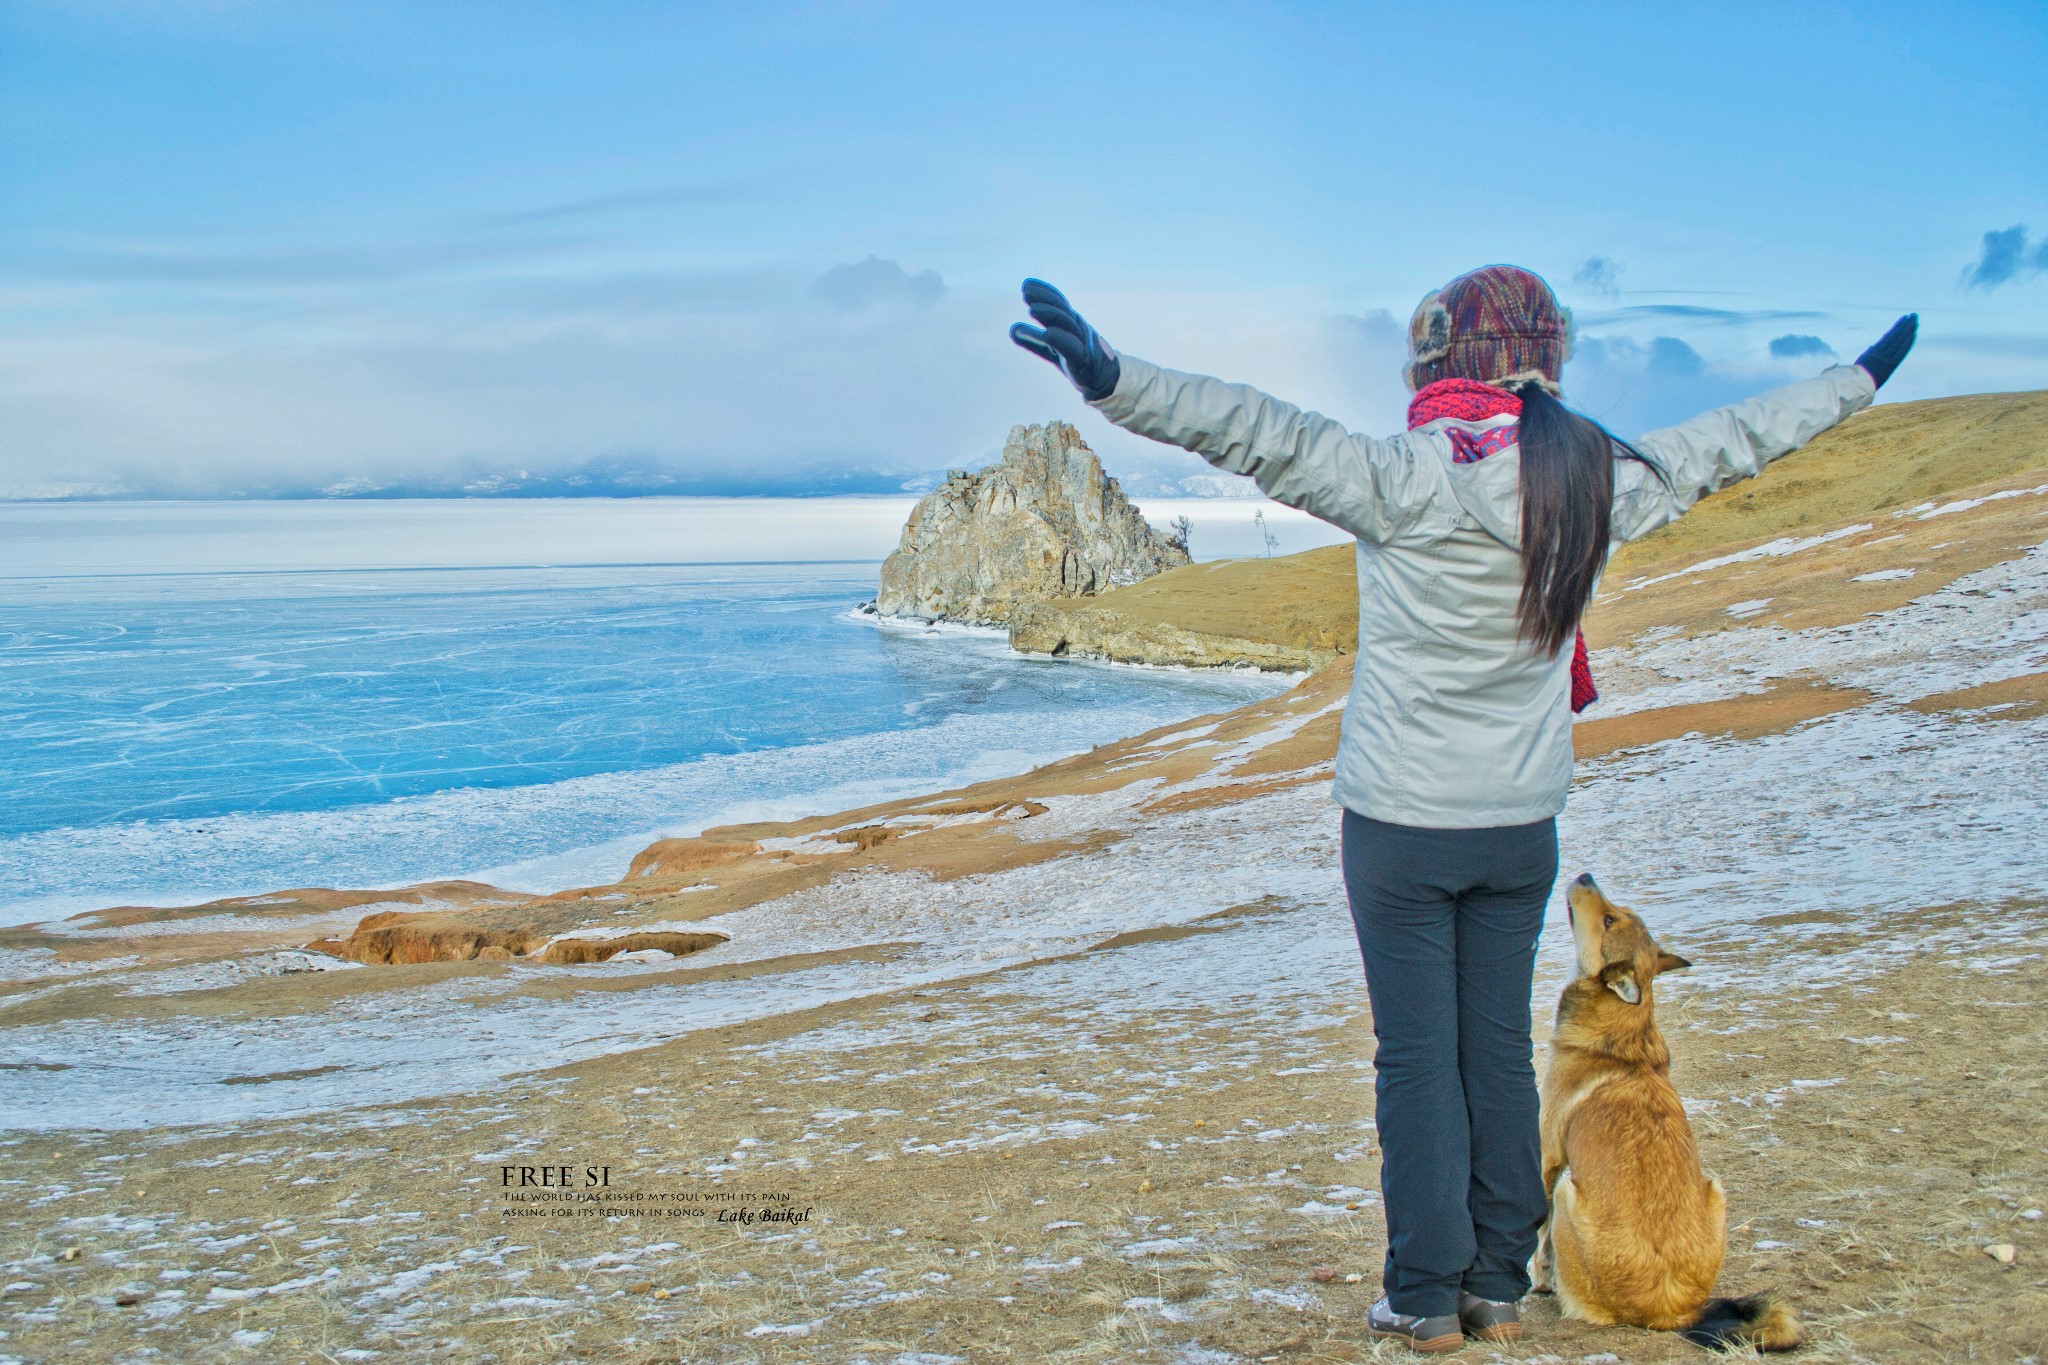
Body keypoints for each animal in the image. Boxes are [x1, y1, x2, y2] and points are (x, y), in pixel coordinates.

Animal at [1531, 879, 1802, 1350]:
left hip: (1569, 1189)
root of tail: (1671, 1313)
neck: (1625, 1026)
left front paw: (1538, 1278)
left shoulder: (1550, 1158)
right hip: (1716, 1189)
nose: (1584, 875)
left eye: (1608, 919)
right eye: (1617, 911)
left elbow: (1539, 1232)